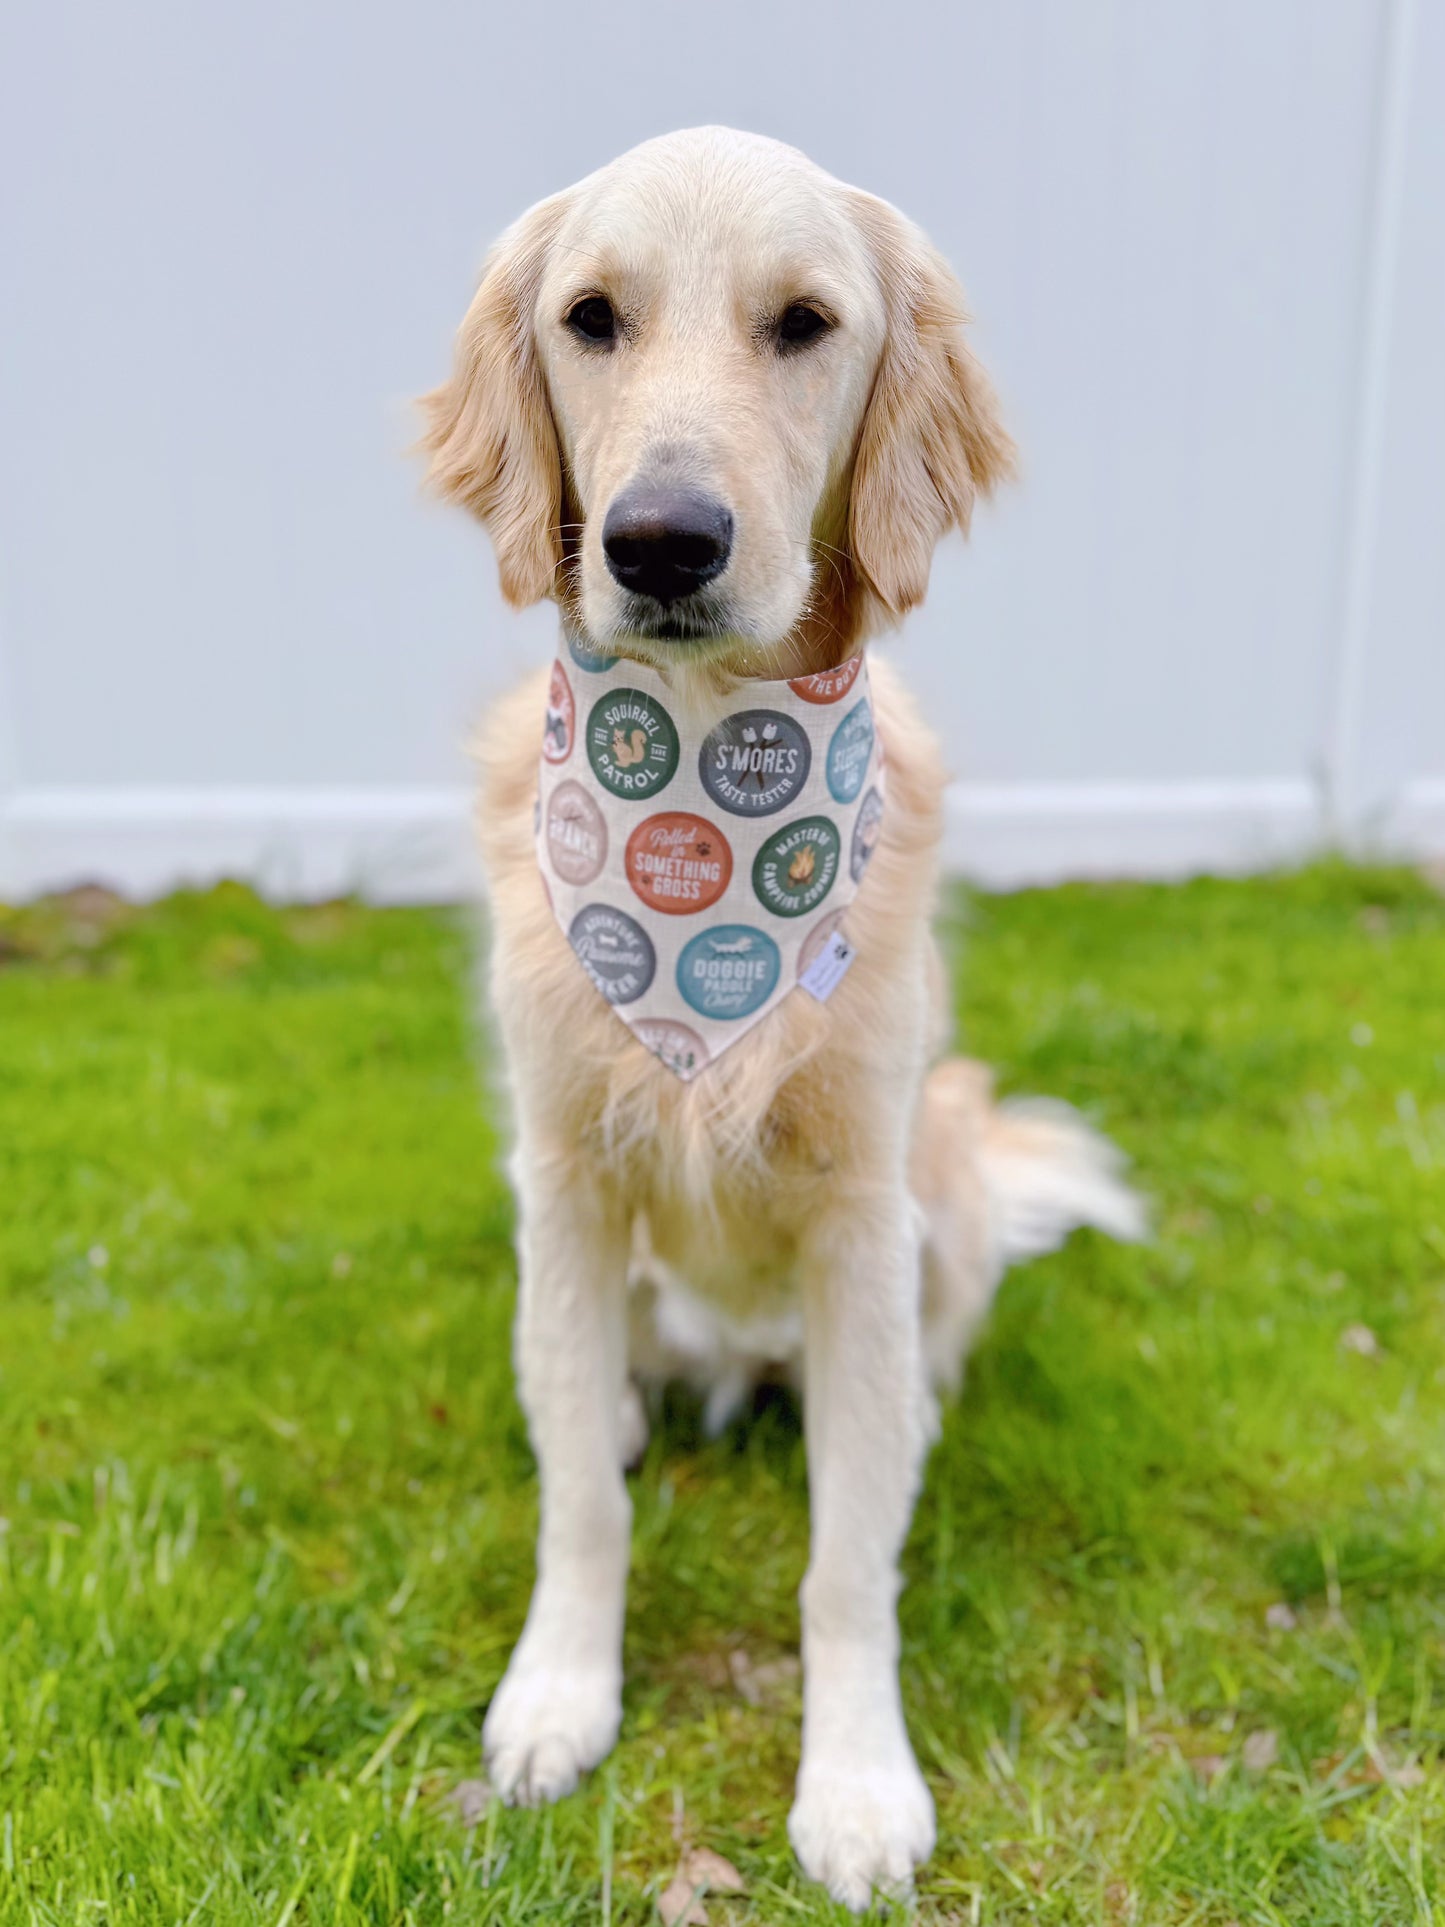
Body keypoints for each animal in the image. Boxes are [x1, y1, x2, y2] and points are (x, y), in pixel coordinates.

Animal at [418, 128, 1140, 1903]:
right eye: (591, 317)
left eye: (804, 323)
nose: (661, 542)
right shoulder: (567, 1175)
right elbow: (580, 1502)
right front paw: (558, 1693)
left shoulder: (860, 1209)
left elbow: (844, 1557)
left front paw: (859, 1782)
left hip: (941, 1191)